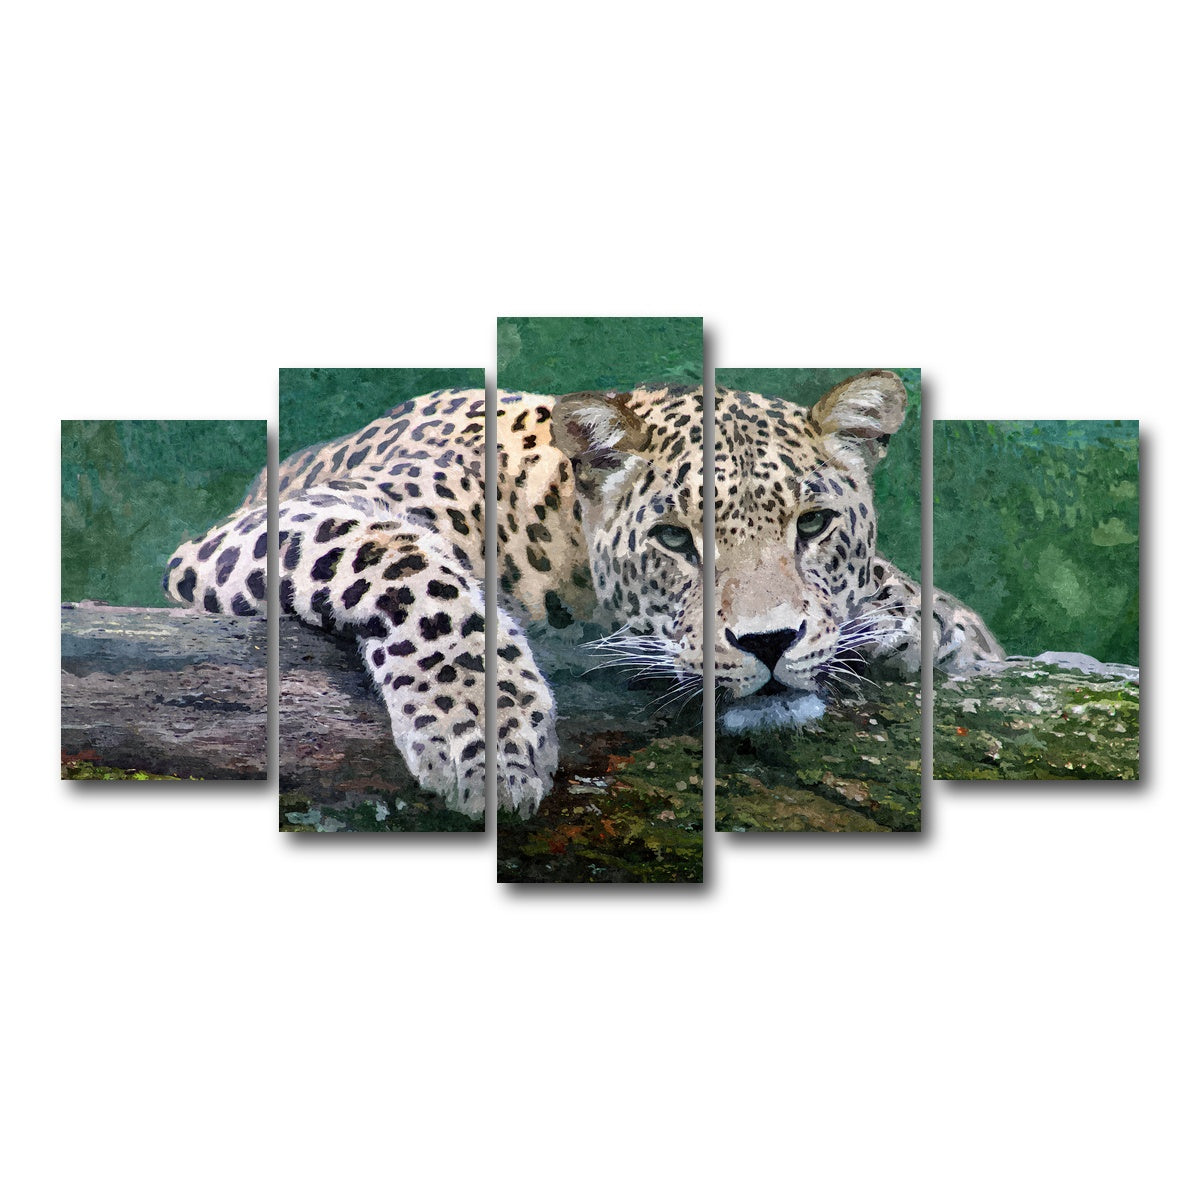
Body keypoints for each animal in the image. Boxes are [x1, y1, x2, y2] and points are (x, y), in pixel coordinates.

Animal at [163, 372, 1003, 818]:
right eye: (673, 540)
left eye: (815, 524)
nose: (768, 644)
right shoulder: (269, 527)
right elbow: (410, 565)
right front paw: (485, 737)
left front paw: (917, 623)